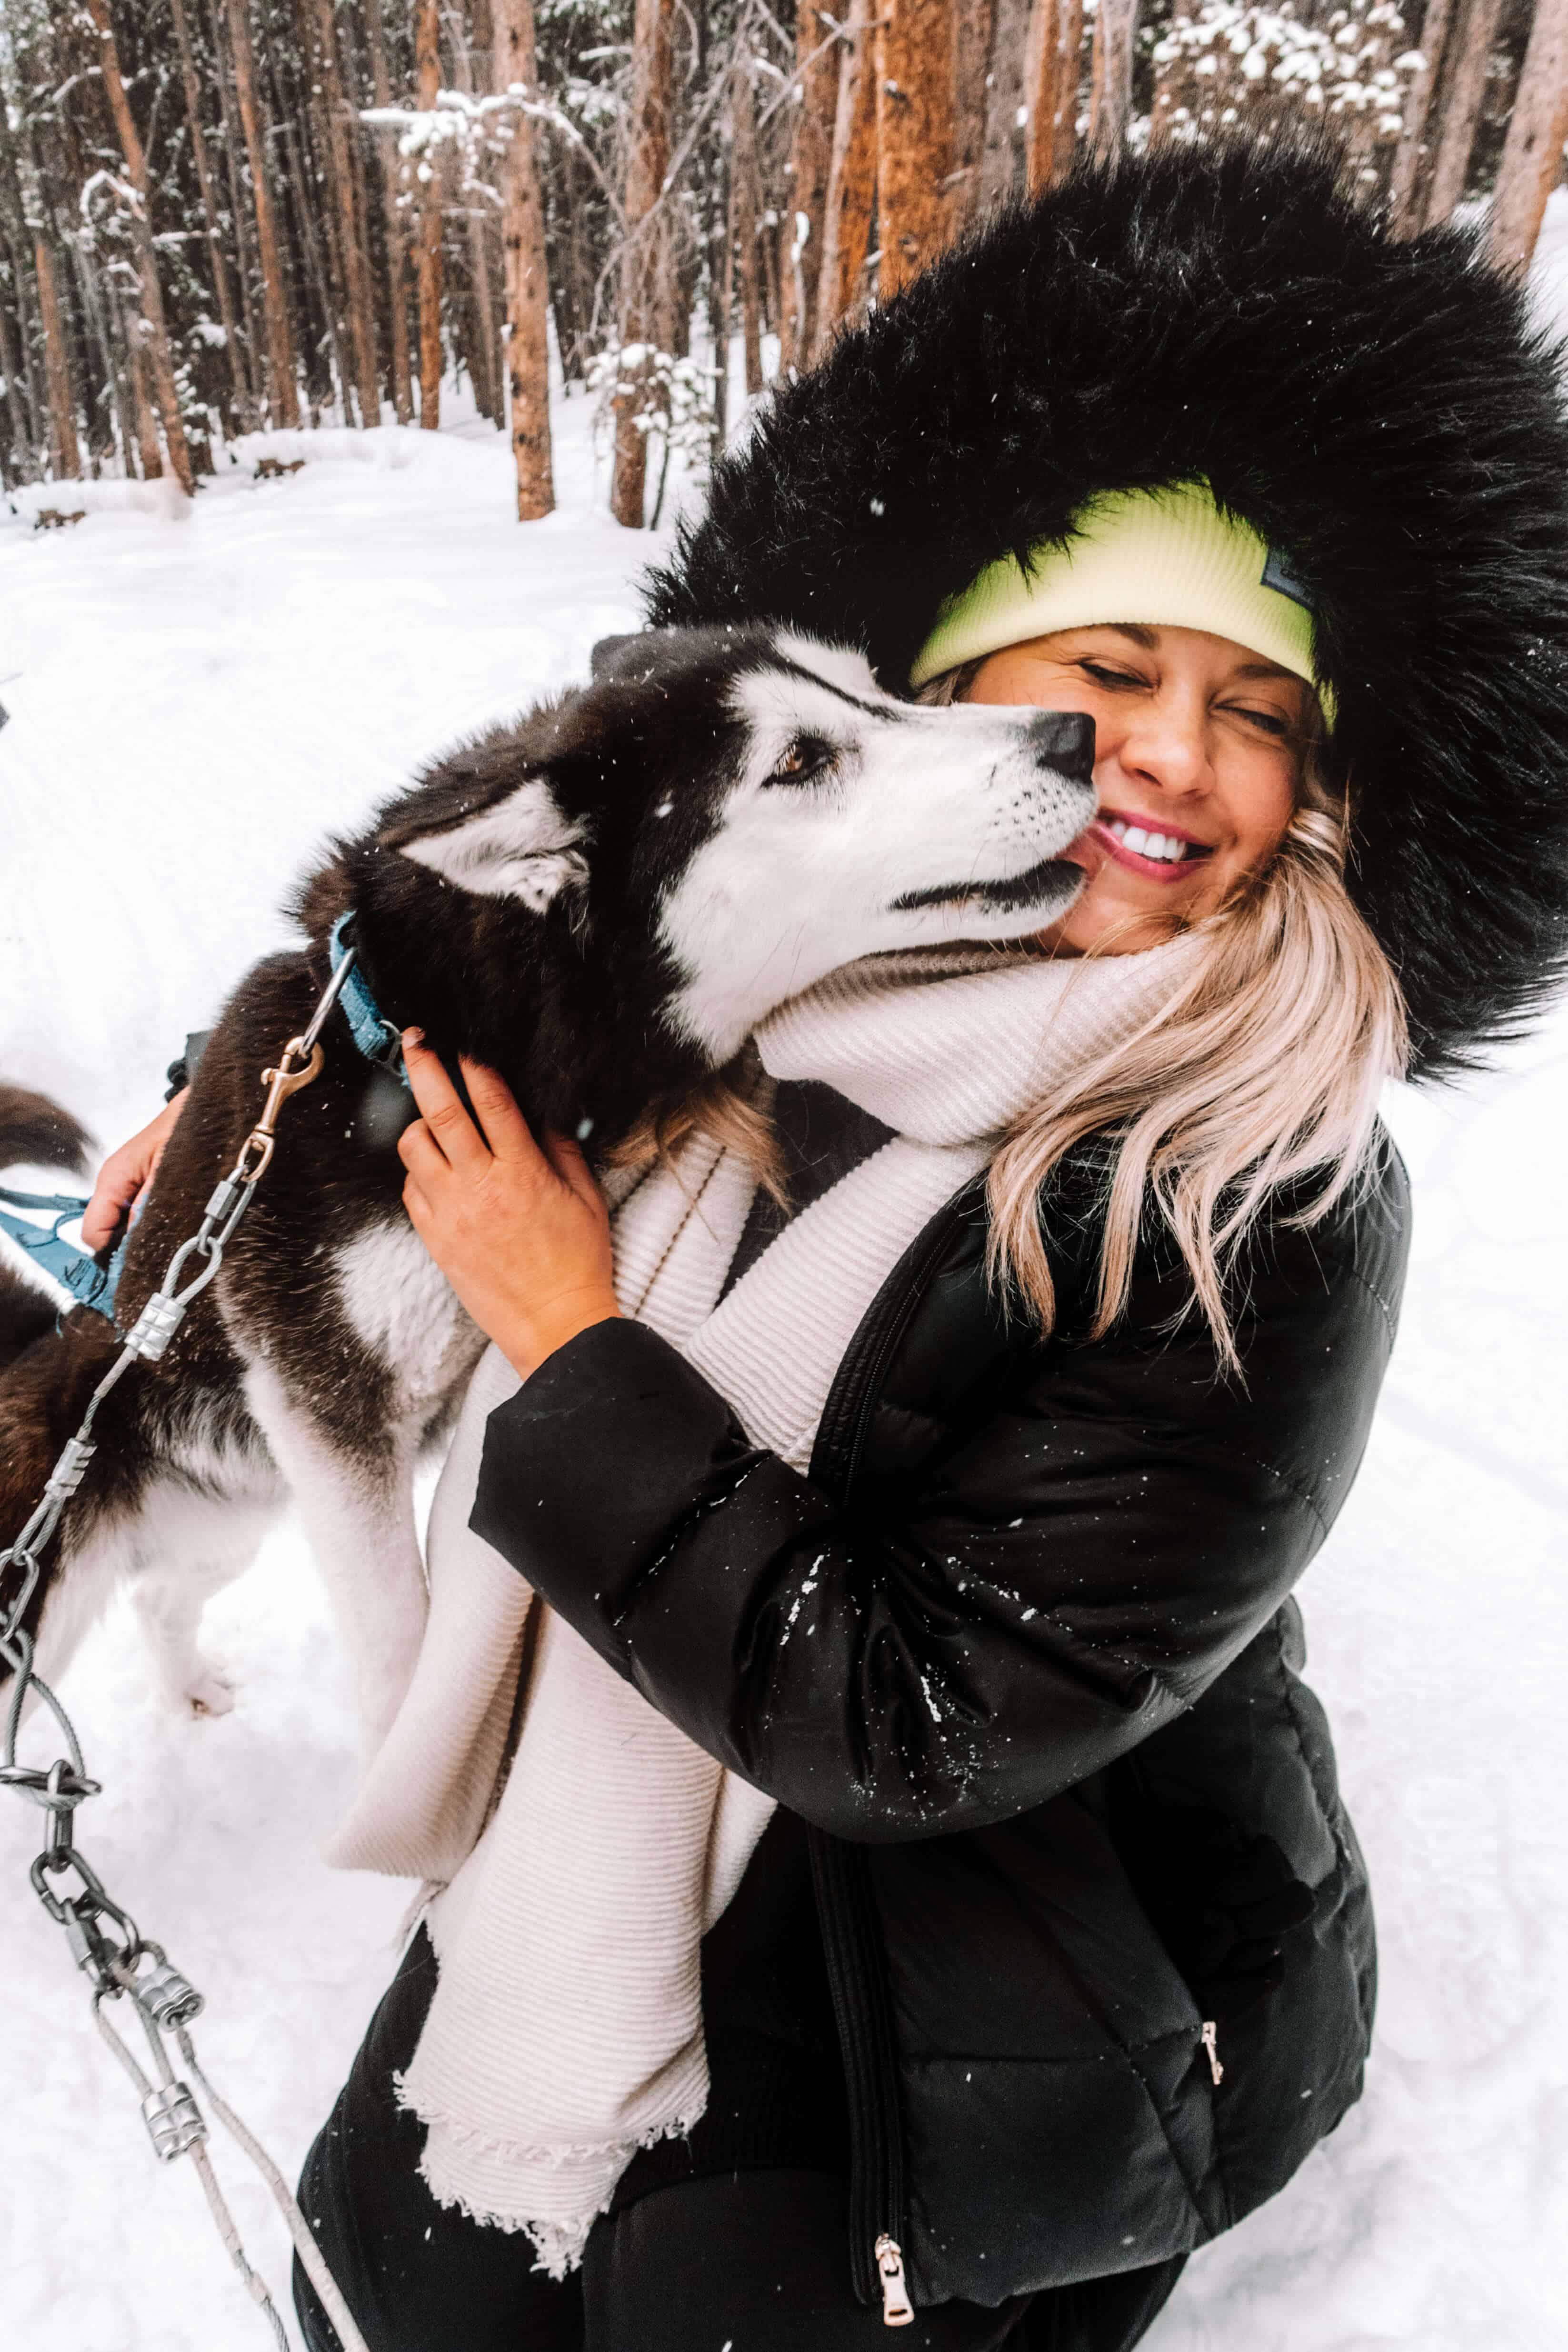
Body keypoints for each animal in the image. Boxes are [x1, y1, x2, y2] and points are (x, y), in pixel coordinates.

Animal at [3, 625, 1090, 1750]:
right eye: (798, 761)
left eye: (875, 687)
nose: (1073, 733)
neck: (436, 1040)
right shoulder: (331, 1417)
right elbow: (398, 1648)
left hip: (235, 1519)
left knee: (159, 1594)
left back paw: (187, 1687)